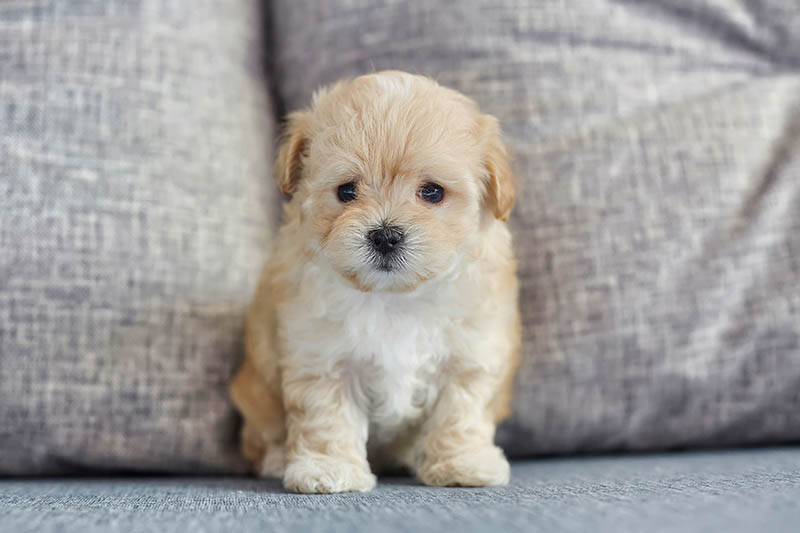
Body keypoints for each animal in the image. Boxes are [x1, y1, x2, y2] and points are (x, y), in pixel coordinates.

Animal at [230, 70, 520, 494]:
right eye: (346, 191)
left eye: (432, 192)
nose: (385, 235)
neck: (393, 296)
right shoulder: (321, 356)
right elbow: (328, 416)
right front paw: (328, 468)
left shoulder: (470, 354)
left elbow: (460, 412)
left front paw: (462, 463)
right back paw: (279, 459)